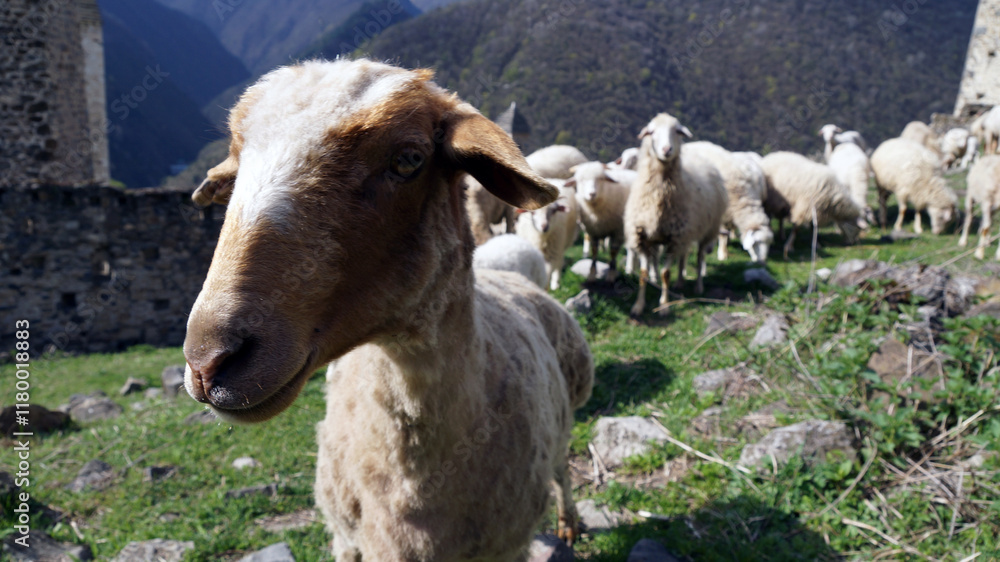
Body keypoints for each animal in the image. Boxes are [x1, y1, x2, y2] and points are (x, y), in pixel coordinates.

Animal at [183, 58, 594, 560]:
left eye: (409, 160)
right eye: (237, 165)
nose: (207, 360)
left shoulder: (505, 548)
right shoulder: (346, 539)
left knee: (562, 467)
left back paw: (569, 521)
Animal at [623, 112, 727, 316]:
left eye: (677, 131)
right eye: (651, 131)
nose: (667, 149)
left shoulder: (674, 238)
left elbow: (666, 273)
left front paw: (664, 305)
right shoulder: (643, 238)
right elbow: (643, 274)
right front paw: (638, 306)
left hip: (707, 229)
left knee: (700, 257)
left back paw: (698, 286)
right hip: (685, 232)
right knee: (683, 257)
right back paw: (679, 282)